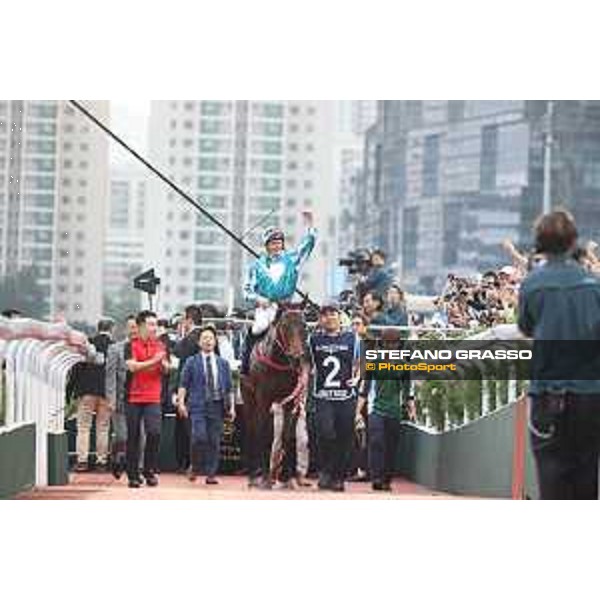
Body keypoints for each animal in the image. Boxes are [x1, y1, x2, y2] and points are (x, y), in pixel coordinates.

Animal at [240, 302, 310, 490]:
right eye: (284, 326)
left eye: (304, 326)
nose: (297, 357)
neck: (278, 362)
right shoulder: (263, 399)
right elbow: (263, 433)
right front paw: (265, 478)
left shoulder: (290, 401)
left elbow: (286, 435)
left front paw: (286, 478)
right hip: (249, 399)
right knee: (252, 429)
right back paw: (253, 475)